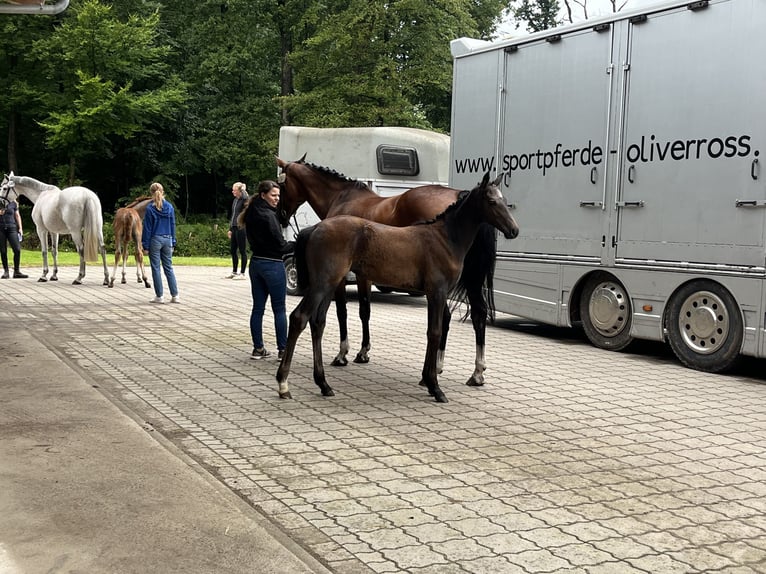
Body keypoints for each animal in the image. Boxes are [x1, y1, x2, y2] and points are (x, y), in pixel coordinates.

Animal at [276, 172, 520, 404]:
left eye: (504, 200)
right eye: (491, 201)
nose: (514, 230)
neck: (444, 237)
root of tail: (315, 227)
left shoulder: (433, 294)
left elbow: (433, 331)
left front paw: (429, 380)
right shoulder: (437, 292)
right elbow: (435, 332)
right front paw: (434, 386)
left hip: (329, 284)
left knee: (318, 323)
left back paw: (323, 384)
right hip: (322, 283)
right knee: (299, 318)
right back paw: (284, 384)